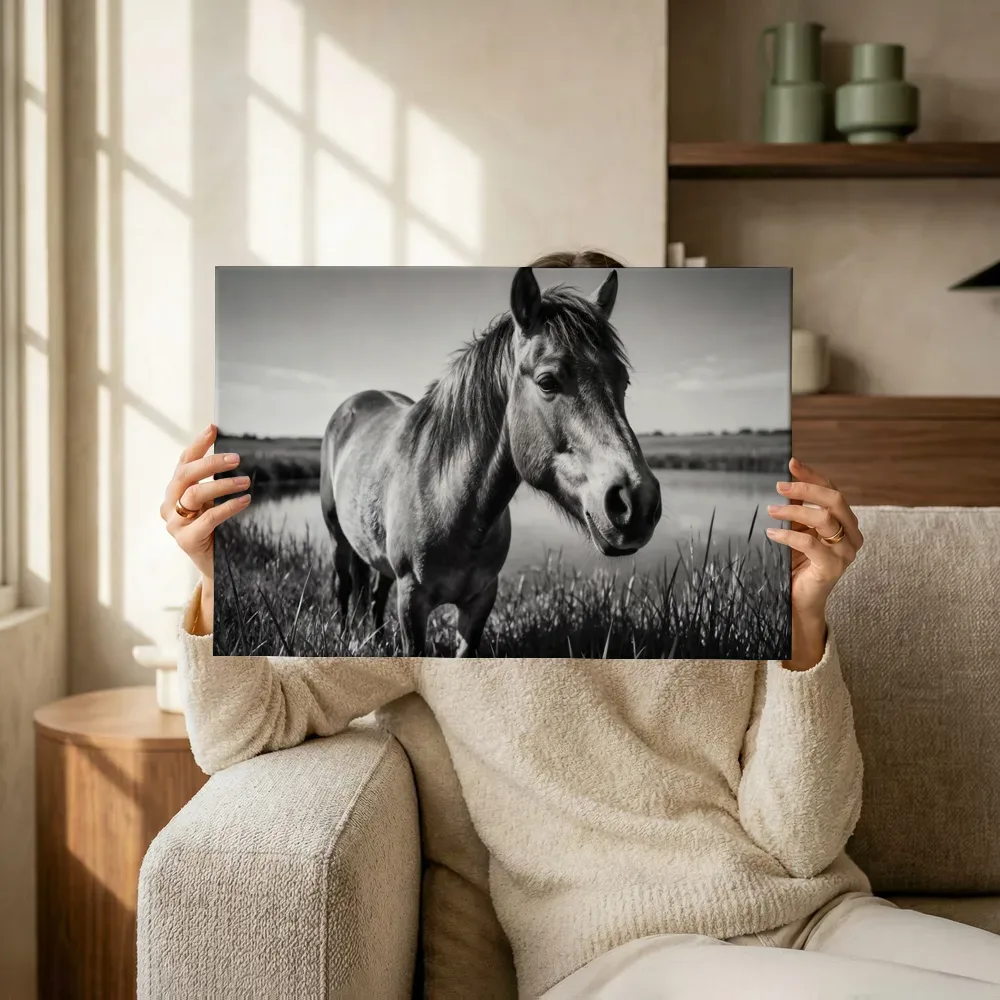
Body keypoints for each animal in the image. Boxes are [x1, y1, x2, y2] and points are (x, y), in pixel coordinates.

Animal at [319, 266, 662, 657]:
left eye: (624, 381)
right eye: (547, 381)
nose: (637, 502)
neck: (449, 501)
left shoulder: (481, 600)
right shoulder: (412, 603)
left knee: (374, 594)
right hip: (337, 537)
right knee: (345, 587)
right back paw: (349, 636)